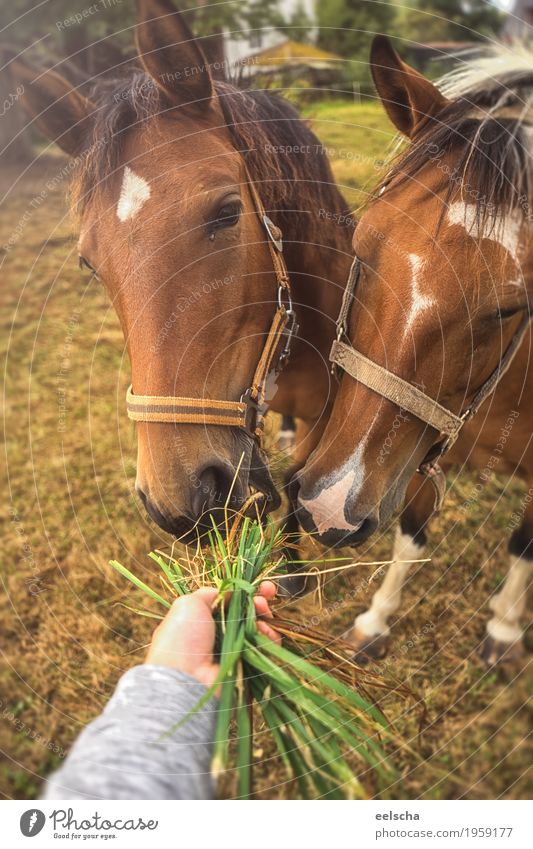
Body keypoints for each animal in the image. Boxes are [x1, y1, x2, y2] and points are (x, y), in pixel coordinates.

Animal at [296, 38, 532, 664]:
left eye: (513, 307)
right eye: (362, 243)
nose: (328, 508)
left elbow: (523, 544)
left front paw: (504, 629)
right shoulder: (424, 444)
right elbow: (412, 531)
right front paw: (376, 620)